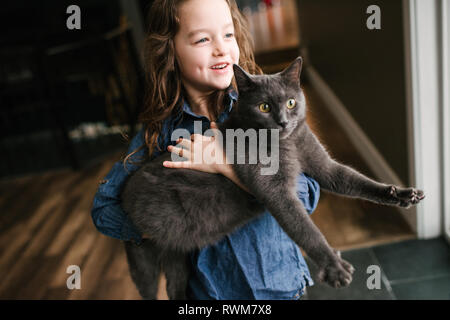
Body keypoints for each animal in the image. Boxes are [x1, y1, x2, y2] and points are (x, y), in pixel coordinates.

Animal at [120, 56, 426, 298]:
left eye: (291, 102)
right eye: (264, 107)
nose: (283, 121)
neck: (287, 146)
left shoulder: (323, 165)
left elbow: (356, 181)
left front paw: (401, 194)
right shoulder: (274, 191)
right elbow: (305, 228)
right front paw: (335, 268)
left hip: (176, 260)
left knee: (174, 286)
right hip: (143, 262)